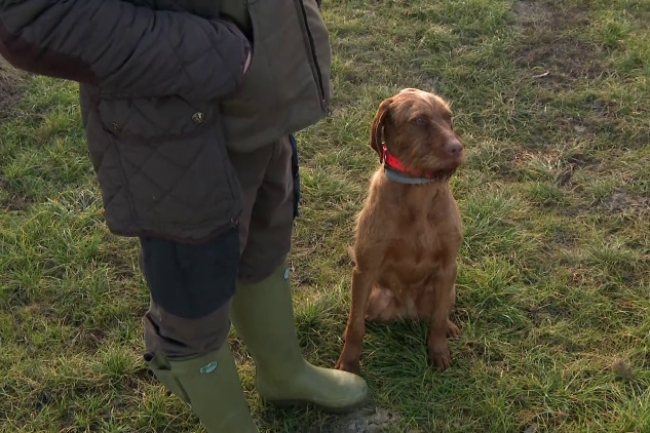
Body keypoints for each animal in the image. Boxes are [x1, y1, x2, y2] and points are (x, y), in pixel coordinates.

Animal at [334, 87, 466, 372]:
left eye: (449, 118)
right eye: (419, 120)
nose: (458, 148)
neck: (418, 192)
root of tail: (407, 310)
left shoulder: (448, 266)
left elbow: (438, 319)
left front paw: (438, 351)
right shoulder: (364, 270)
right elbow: (355, 325)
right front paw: (348, 363)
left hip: (448, 288)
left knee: (439, 313)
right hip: (373, 294)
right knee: (361, 315)